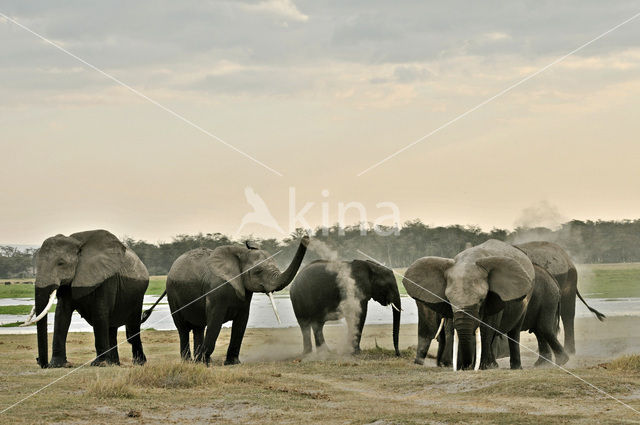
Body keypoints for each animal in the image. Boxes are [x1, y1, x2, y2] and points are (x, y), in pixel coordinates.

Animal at [24, 230, 149, 366]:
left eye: (61, 263)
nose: (40, 362)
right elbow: (61, 314)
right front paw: (57, 365)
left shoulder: (105, 278)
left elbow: (99, 312)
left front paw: (99, 364)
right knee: (111, 328)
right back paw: (114, 363)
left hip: (138, 296)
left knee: (132, 328)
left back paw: (138, 363)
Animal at [144, 235, 308, 364]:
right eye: (258, 271)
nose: (306, 238)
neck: (241, 253)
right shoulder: (216, 291)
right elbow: (215, 320)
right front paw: (206, 363)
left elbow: (241, 322)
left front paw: (232, 363)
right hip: (173, 294)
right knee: (183, 328)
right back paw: (190, 361)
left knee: (198, 328)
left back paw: (196, 361)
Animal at [404, 240, 536, 370]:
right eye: (449, 300)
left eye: (481, 300)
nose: (466, 366)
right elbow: (452, 328)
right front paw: (459, 367)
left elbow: (487, 328)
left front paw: (483, 367)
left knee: (514, 332)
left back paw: (511, 367)